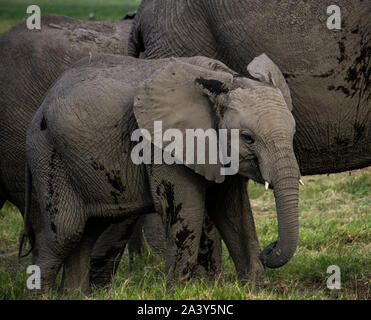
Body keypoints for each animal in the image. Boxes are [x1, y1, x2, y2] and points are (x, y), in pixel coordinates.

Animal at [26, 53, 300, 296]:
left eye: (293, 133)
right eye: (248, 138)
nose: (270, 248)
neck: (224, 79)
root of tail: (41, 105)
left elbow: (234, 211)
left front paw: (255, 289)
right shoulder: (163, 146)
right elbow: (188, 212)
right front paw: (178, 292)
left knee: (89, 230)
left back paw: (73, 295)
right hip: (47, 153)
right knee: (65, 232)